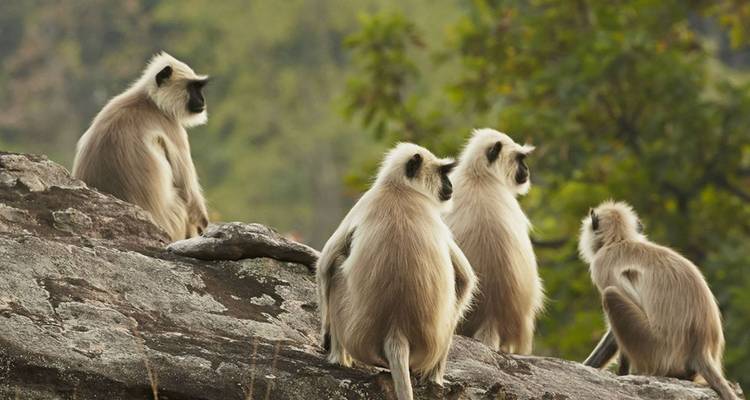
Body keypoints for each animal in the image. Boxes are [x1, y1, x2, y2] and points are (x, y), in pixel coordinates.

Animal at [72, 52, 209, 241]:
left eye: (199, 88)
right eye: (193, 87)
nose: (202, 100)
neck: (150, 101)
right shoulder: (173, 128)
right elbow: (188, 193)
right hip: (173, 219)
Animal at [316, 142, 477, 400]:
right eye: (442, 173)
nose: (450, 186)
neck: (399, 189)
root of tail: (396, 331)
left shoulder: (366, 201)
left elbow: (325, 264)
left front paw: (325, 337)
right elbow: (464, 279)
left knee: (338, 263)